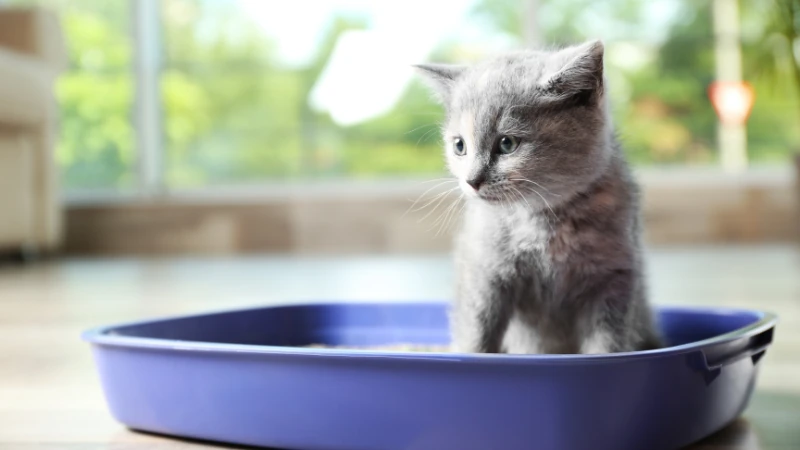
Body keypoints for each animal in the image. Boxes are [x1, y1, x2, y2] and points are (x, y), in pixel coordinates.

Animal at [416, 40, 660, 354]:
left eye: (507, 144)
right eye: (460, 146)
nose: (471, 181)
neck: (542, 219)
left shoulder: (615, 277)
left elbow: (607, 342)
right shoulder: (484, 270)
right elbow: (477, 331)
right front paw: (471, 354)